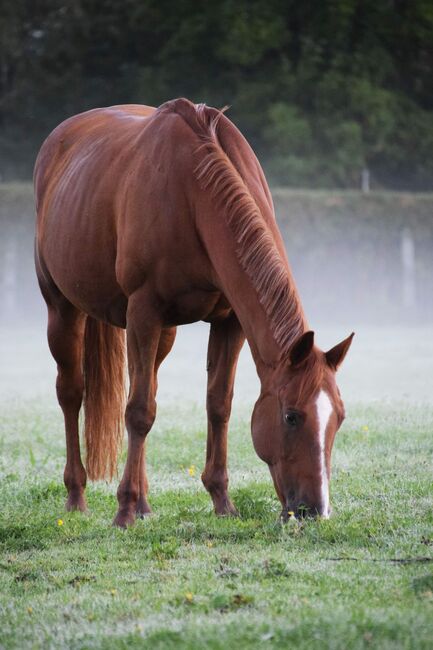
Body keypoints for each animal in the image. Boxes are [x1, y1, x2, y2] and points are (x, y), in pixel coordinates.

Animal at [33, 100, 352, 528]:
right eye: (291, 417)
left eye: (340, 417)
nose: (314, 510)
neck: (193, 194)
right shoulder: (143, 311)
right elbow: (138, 411)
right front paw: (123, 510)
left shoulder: (228, 321)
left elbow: (217, 403)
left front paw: (221, 500)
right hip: (64, 309)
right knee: (72, 393)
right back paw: (77, 496)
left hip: (161, 334)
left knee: (146, 383)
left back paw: (145, 502)